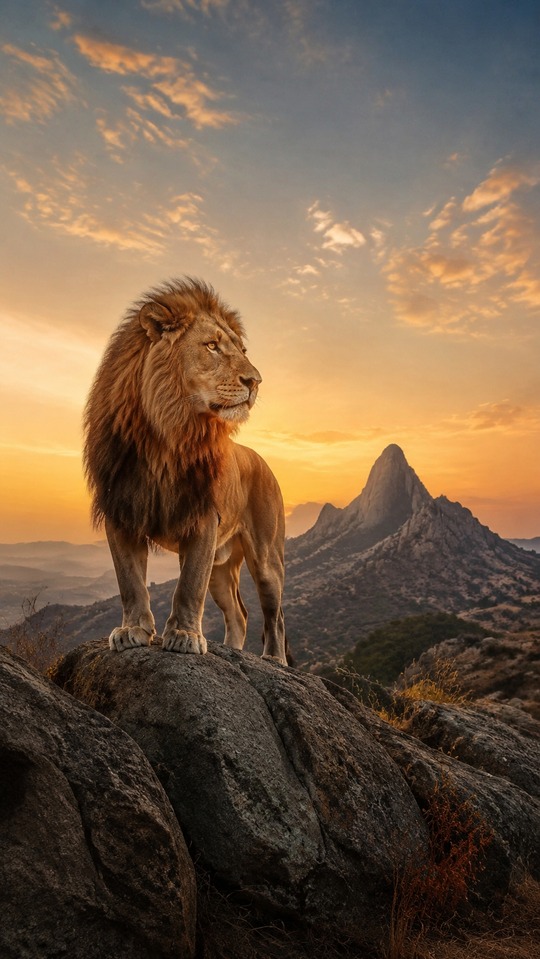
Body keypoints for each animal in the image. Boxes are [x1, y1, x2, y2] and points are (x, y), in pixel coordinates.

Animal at [84, 277, 290, 666]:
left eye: (242, 349)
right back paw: (232, 650)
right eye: (212, 346)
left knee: (275, 614)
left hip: (267, 558)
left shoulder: (203, 517)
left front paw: (184, 636)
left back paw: (274, 659)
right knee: (239, 614)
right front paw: (133, 631)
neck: (166, 435)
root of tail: (261, 460)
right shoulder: (122, 511)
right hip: (221, 568)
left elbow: (189, 585)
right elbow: (129, 582)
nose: (256, 381)